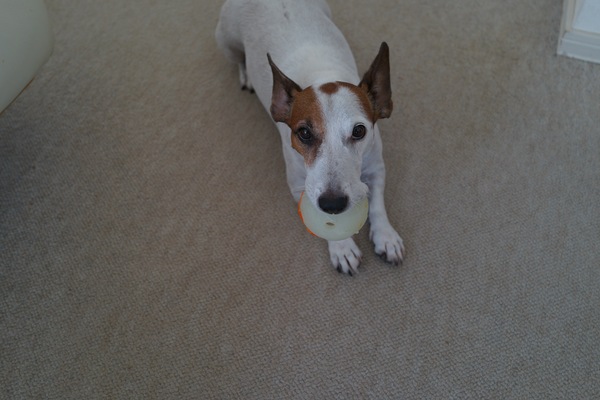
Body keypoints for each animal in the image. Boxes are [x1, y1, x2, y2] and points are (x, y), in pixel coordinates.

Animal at [215, 0, 405, 275]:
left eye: (359, 131)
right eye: (303, 133)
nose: (333, 203)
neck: (321, 75)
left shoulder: (376, 166)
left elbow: (378, 204)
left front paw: (386, 237)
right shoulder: (299, 187)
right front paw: (342, 248)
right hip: (226, 41)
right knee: (239, 59)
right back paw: (247, 74)